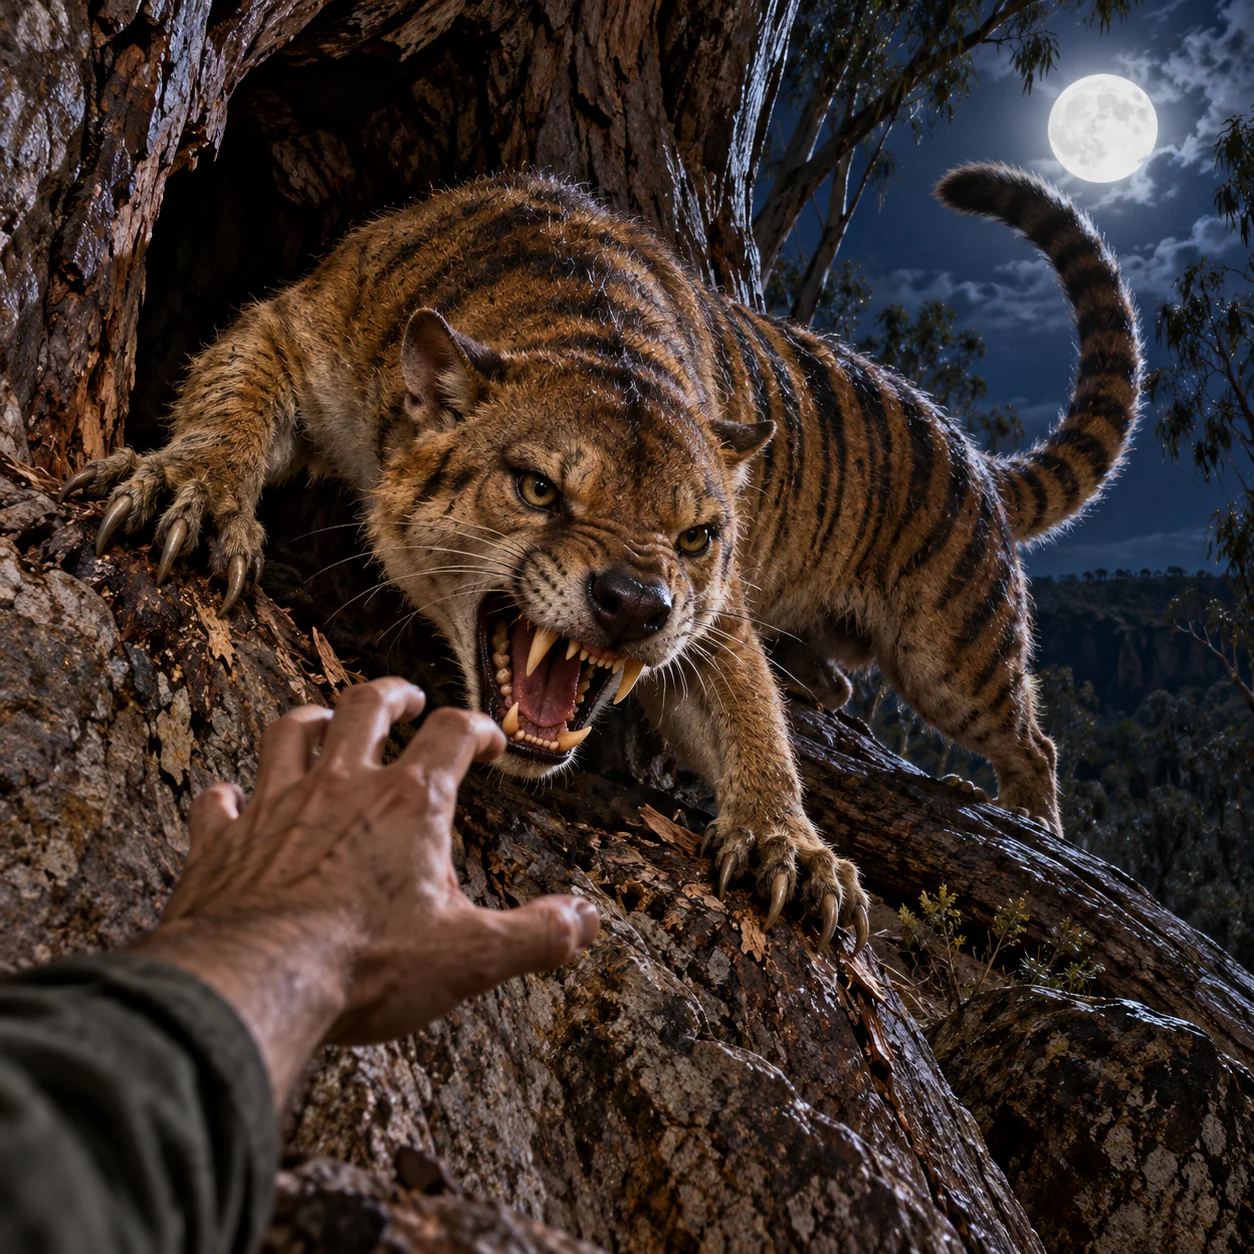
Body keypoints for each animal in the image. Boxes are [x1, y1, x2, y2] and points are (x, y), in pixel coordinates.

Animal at [61, 163, 1141, 954]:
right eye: (541, 489)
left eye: (698, 536)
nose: (636, 603)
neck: (586, 328)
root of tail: (979, 459)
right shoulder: (298, 327)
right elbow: (231, 404)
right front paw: (193, 494)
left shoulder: (718, 622)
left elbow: (747, 712)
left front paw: (789, 845)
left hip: (953, 657)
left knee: (1030, 739)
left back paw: (1035, 826)